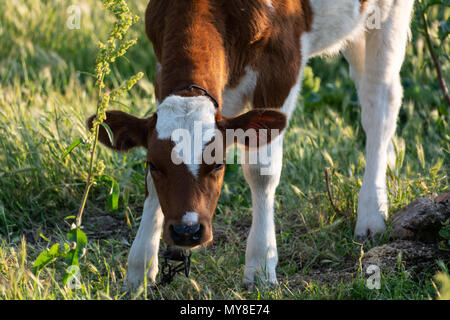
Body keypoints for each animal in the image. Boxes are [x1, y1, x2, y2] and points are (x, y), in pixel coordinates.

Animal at [90, 0, 414, 288]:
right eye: (154, 164)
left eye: (218, 165)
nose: (186, 231)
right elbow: (150, 186)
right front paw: (140, 269)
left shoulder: (282, 63)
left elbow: (261, 171)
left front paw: (260, 266)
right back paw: (390, 160)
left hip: (391, 12)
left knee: (380, 101)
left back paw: (372, 212)